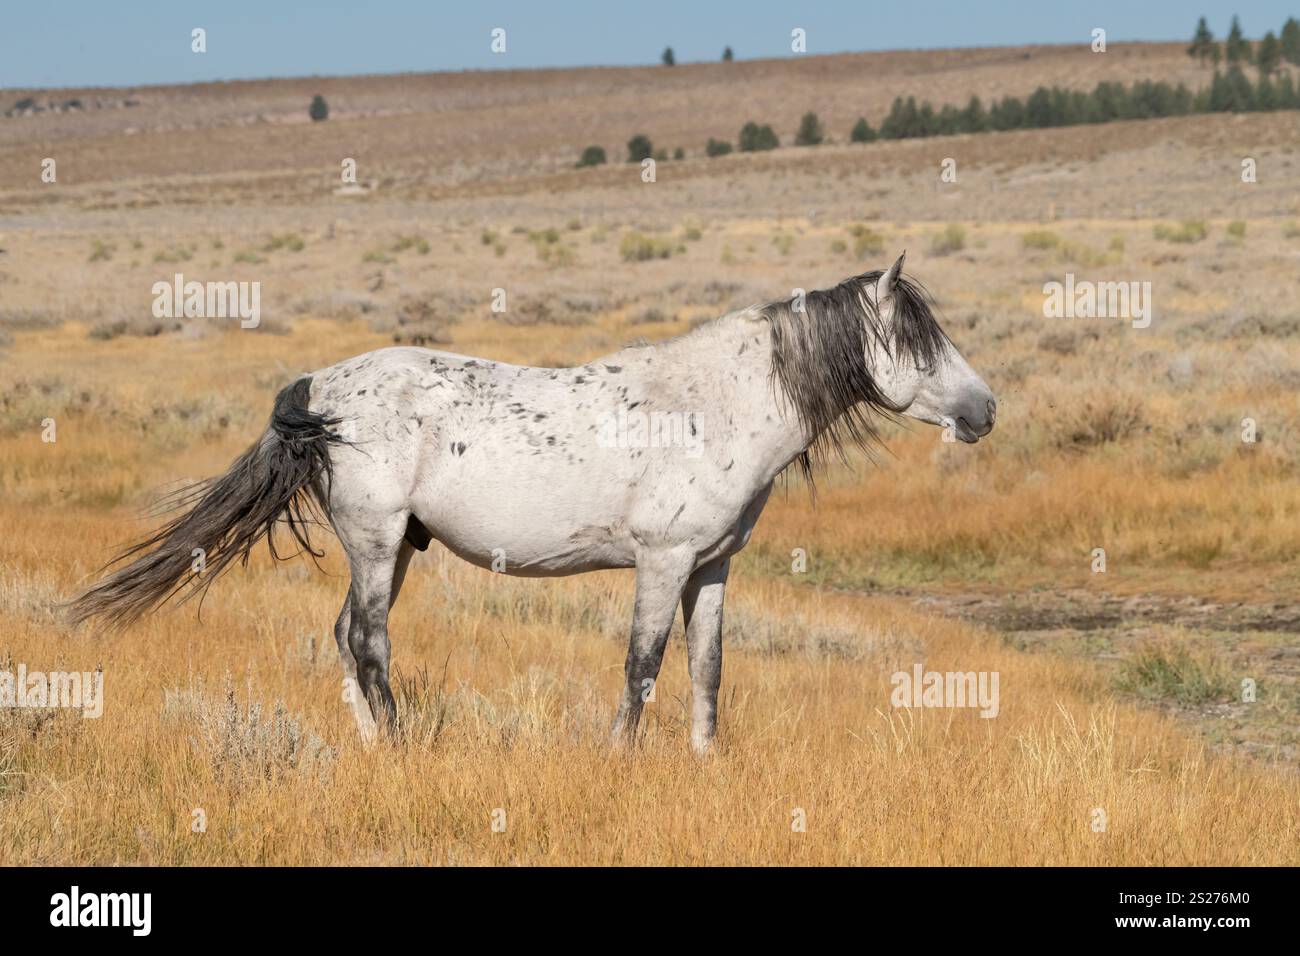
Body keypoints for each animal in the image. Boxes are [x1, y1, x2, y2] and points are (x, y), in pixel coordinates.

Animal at [70, 253, 996, 752]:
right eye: (916, 341)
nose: (985, 410)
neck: (717, 401)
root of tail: (321, 388)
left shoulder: (711, 567)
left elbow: (706, 669)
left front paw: (705, 761)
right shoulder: (662, 562)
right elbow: (642, 664)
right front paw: (620, 758)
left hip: (397, 548)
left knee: (342, 638)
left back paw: (371, 746)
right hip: (375, 543)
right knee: (368, 641)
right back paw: (401, 749)